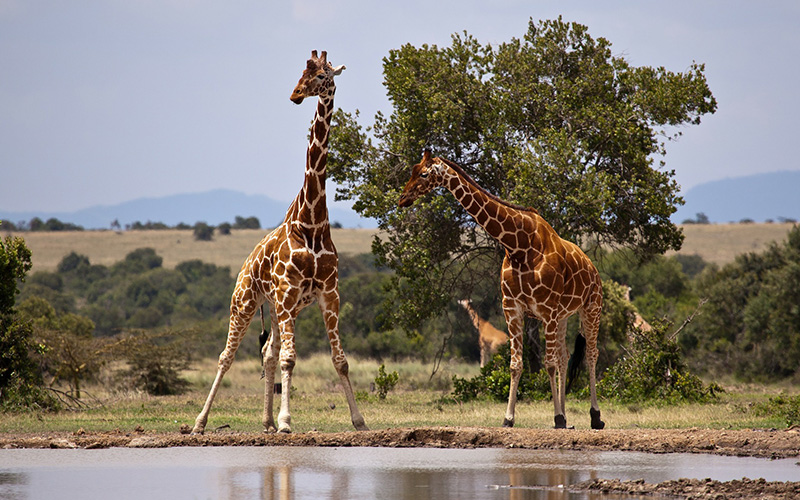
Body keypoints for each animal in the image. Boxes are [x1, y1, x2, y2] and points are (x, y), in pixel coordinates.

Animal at [191, 49, 368, 434]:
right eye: (302, 72)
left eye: (322, 75)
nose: (295, 94)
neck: (311, 221)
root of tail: (245, 264)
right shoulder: (288, 294)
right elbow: (290, 359)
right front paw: (288, 421)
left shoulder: (328, 295)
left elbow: (340, 360)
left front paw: (359, 420)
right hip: (245, 302)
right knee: (227, 356)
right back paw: (199, 422)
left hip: (277, 309)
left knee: (268, 352)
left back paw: (267, 421)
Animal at [400, 149, 608, 430]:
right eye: (411, 170)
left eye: (423, 174)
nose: (402, 198)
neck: (519, 245)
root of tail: (593, 268)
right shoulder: (513, 307)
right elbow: (516, 364)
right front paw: (510, 418)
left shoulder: (547, 309)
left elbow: (548, 364)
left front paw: (557, 418)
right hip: (564, 316)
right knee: (565, 357)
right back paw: (568, 416)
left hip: (591, 307)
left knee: (591, 354)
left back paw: (595, 417)